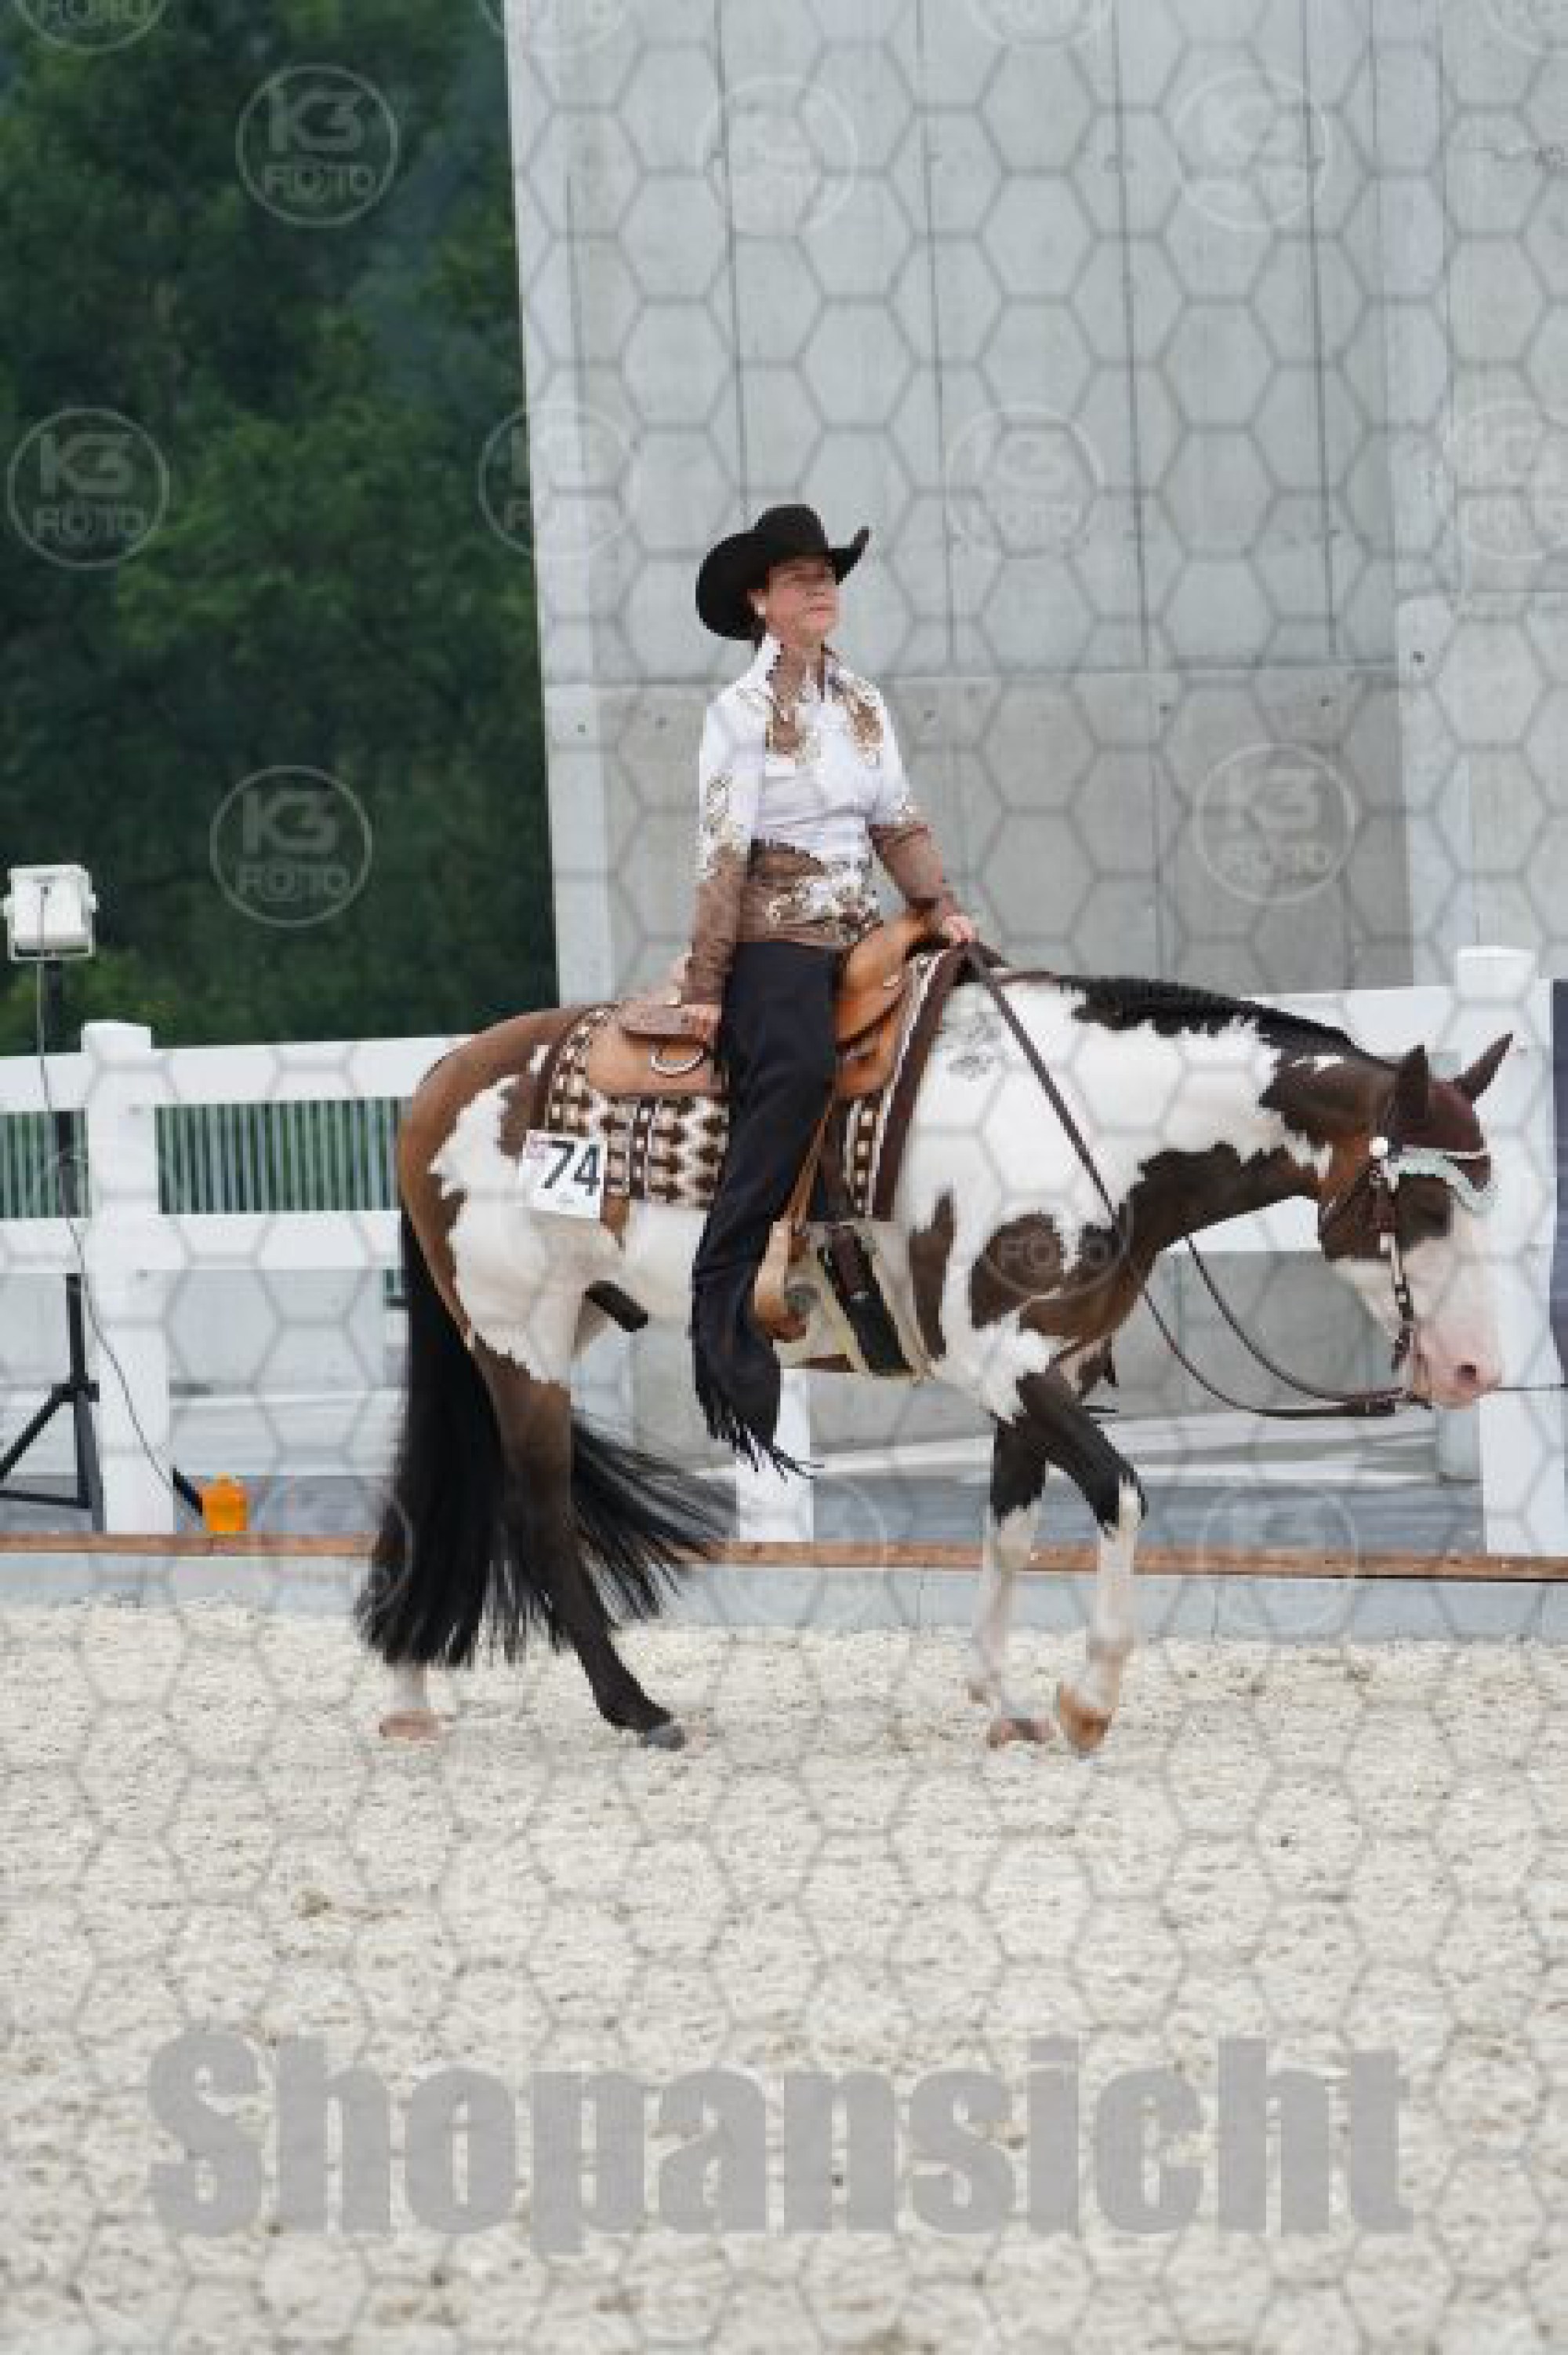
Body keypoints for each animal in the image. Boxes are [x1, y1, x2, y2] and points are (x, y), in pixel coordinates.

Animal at [355, 965, 1510, 1755]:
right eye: (1422, 1200)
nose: (1472, 1373)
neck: (1094, 1125)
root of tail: (439, 1075)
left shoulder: (1052, 1370)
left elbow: (1011, 1527)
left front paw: (1002, 1700)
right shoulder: (997, 1362)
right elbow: (1120, 1494)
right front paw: (1087, 1699)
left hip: (544, 1331)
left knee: (451, 1490)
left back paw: (410, 1692)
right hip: (520, 1338)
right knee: (537, 1512)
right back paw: (636, 1709)